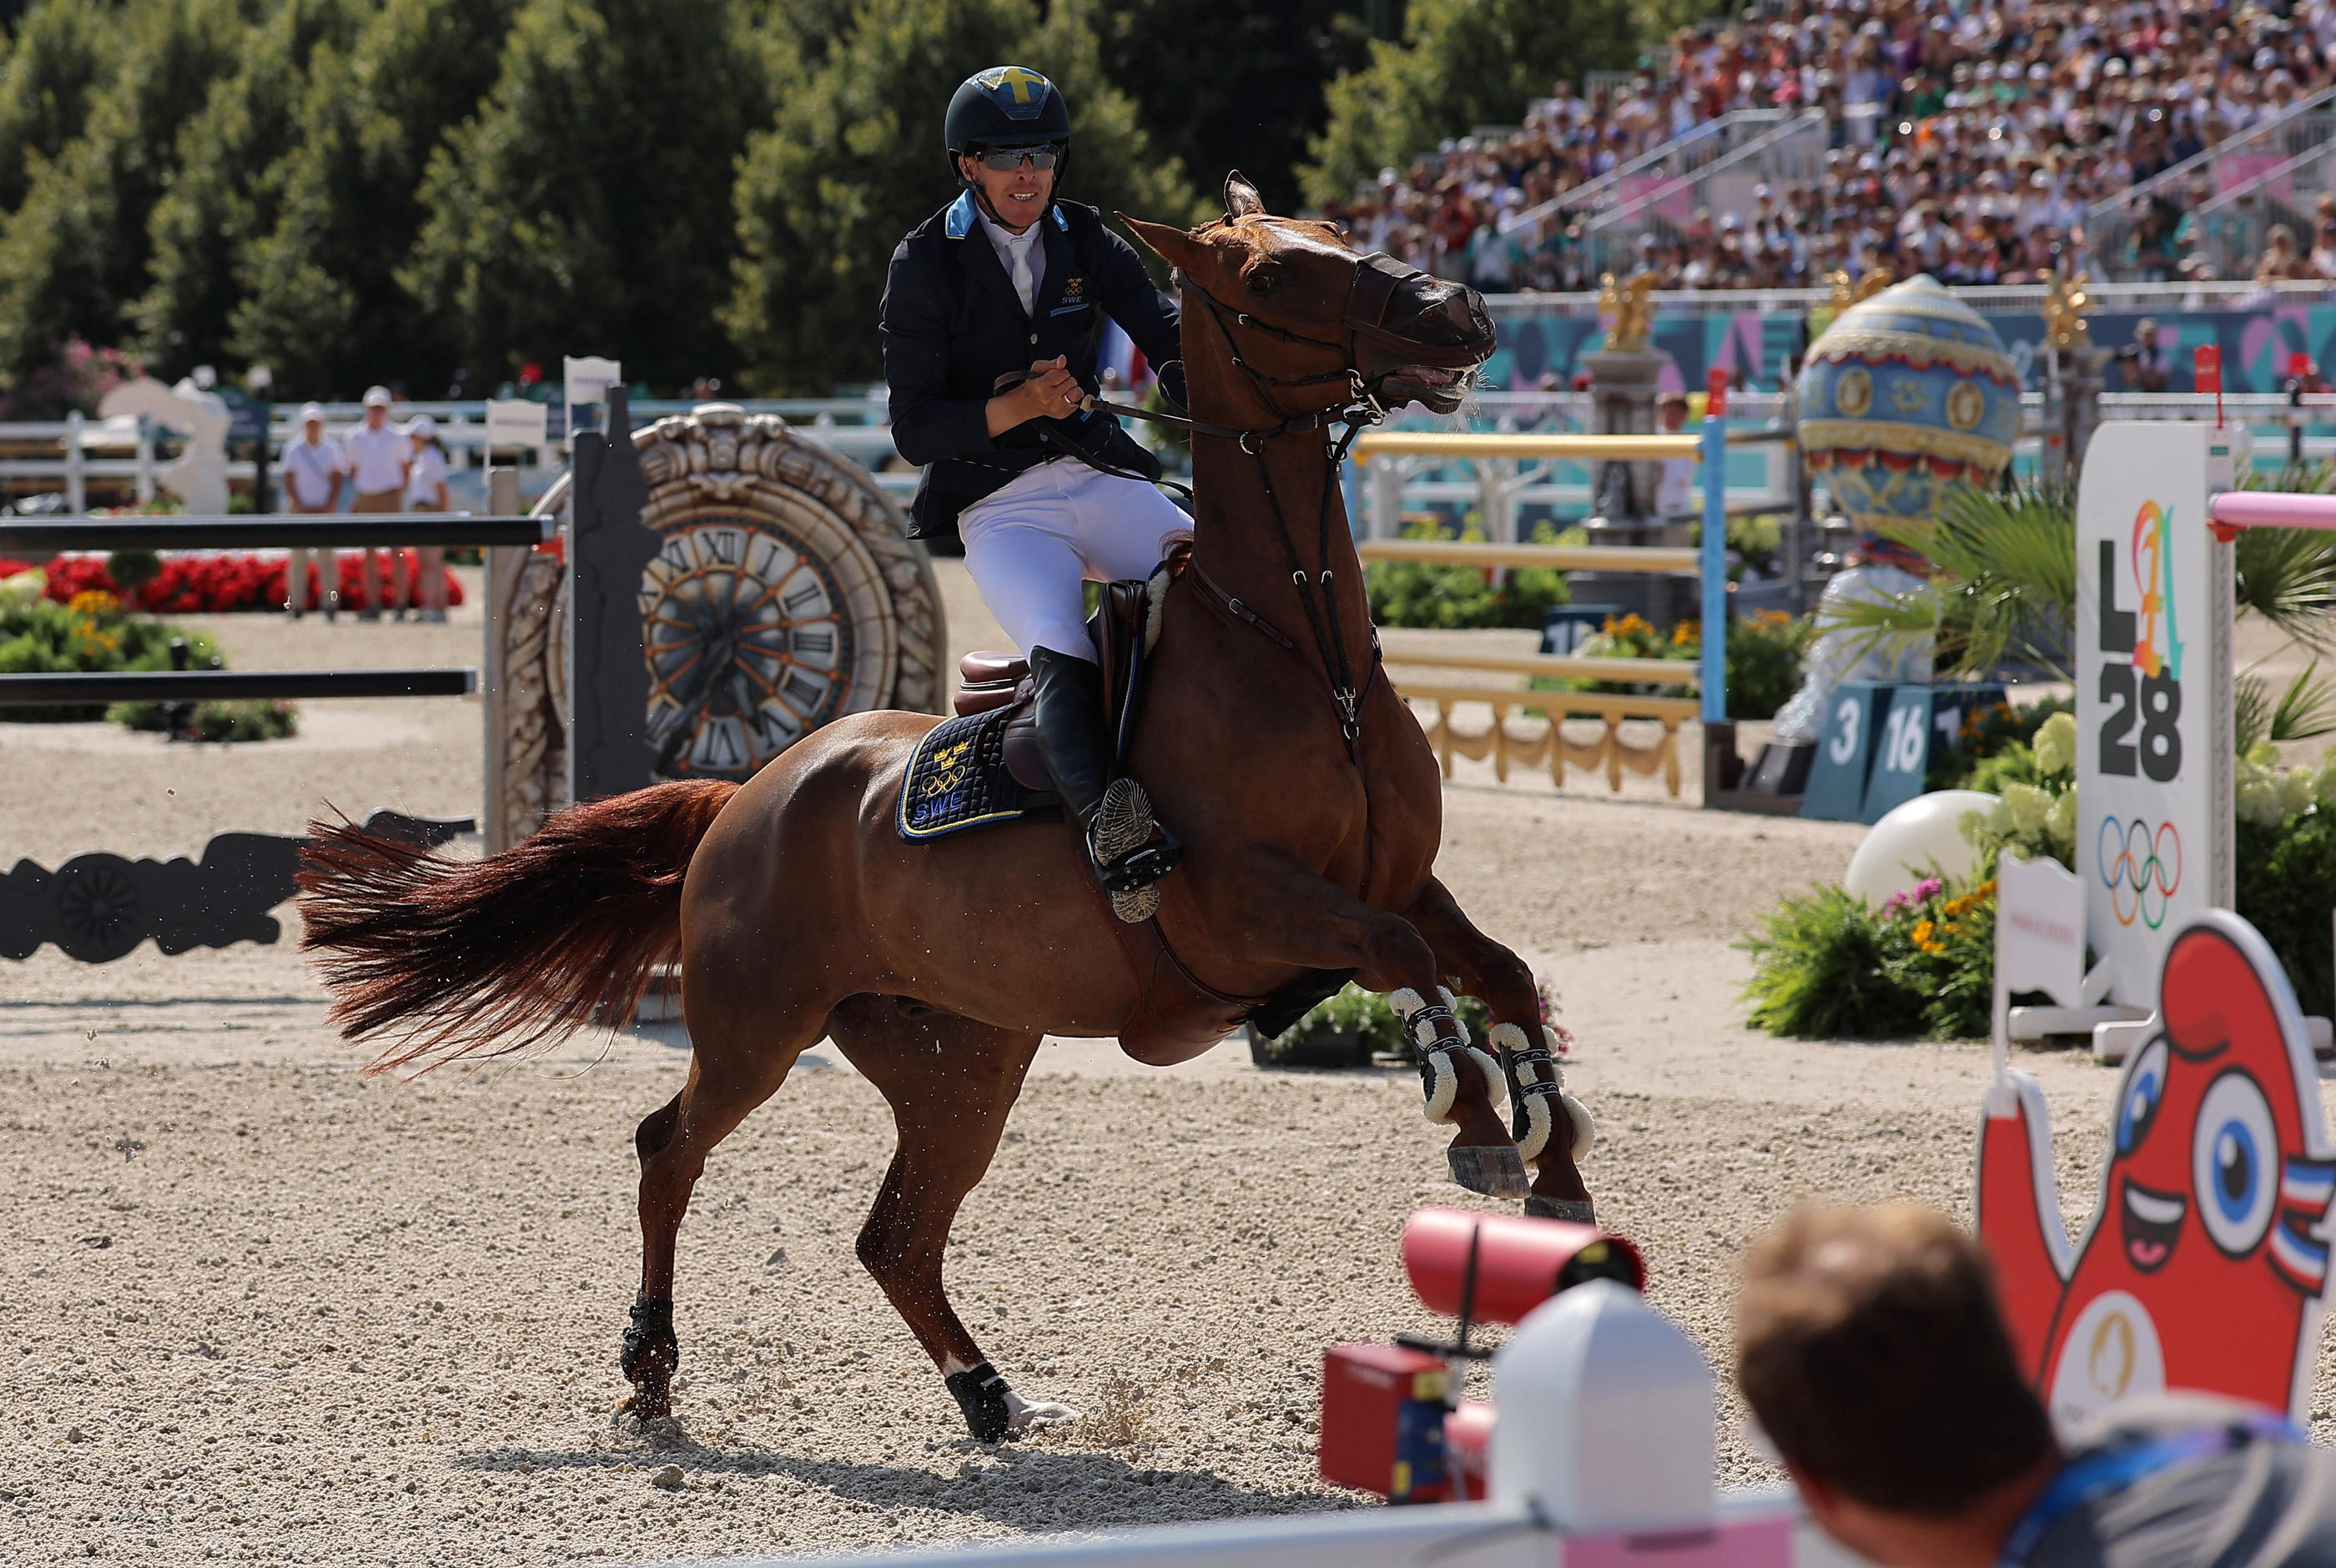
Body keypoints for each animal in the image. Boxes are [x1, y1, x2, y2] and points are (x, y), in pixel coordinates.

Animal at [292, 175, 1598, 1449]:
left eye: (1335, 229)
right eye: (1273, 277)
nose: (1457, 312)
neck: (1304, 654)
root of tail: (745, 796)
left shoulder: (1398, 879)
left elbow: (1496, 969)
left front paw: (1557, 1164)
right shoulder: (1249, 910)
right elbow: (1403, 959)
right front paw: (1479, 1124)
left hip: (960, 1063)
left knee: (898, 1235)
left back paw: (990, 1395)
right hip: (759, 1031)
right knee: (672, 1152)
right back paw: (652, 1375)